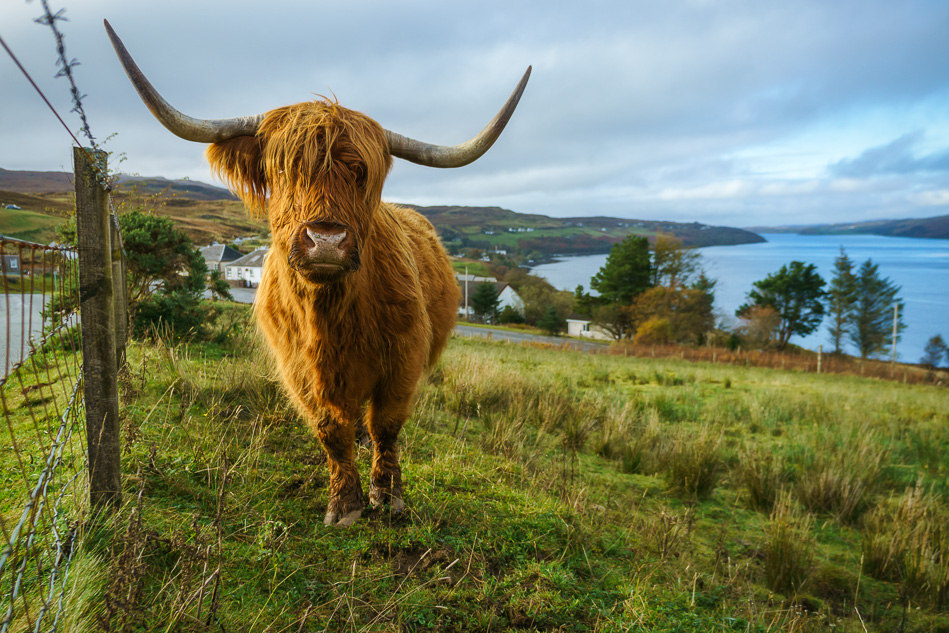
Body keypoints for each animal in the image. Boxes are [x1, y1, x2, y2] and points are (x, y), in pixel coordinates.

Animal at [105, 21, 529, 527]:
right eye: (283, 169)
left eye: (363, 174)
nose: (326, 240)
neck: (331, 317)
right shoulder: (298, 371)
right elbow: (331, 430)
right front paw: (344, 505)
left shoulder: (403, 362)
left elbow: (387, 427)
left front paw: (388, 497)